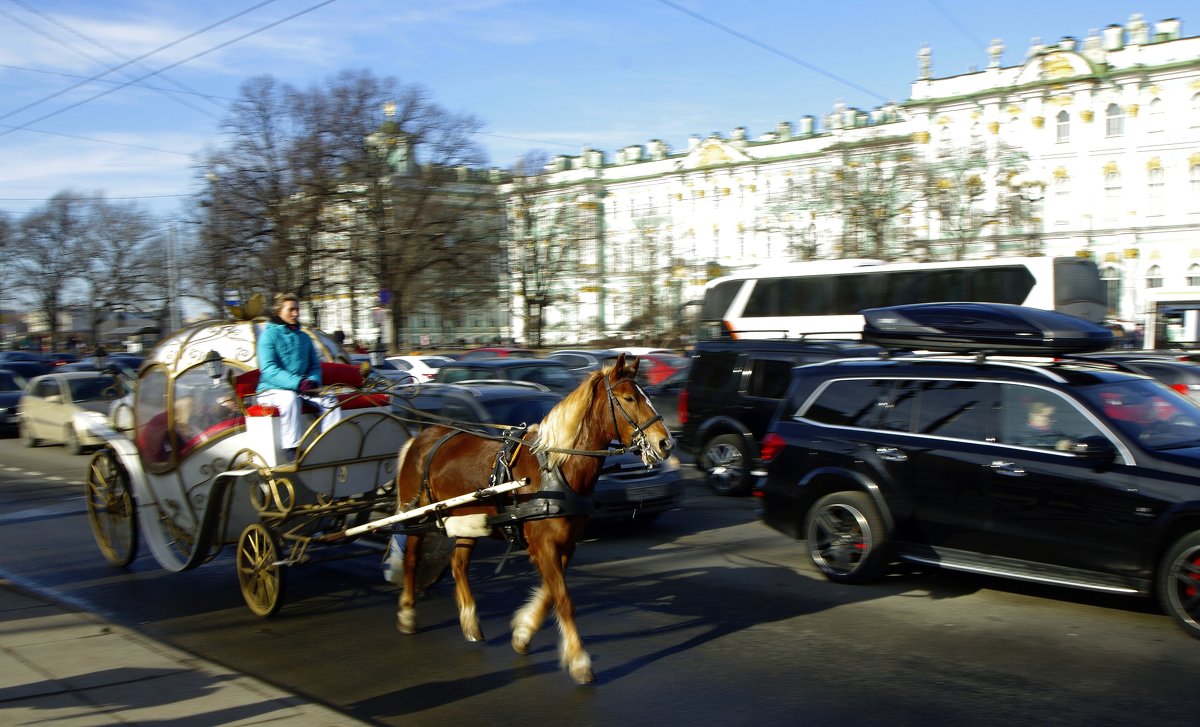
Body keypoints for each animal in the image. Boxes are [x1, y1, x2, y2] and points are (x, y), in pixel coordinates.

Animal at [393, 355, 676, 686]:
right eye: (629, 398)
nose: (666, 443)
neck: (556, 468)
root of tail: (420, 438)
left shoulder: (566, 544)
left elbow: (550, 594)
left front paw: (523, 631)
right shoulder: (544, 545)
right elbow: (563, 599)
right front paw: (579, 660)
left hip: (468, 519)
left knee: (458, 564)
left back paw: (470, 622)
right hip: (419, 515)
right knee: (412, 559)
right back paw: (408, 612)